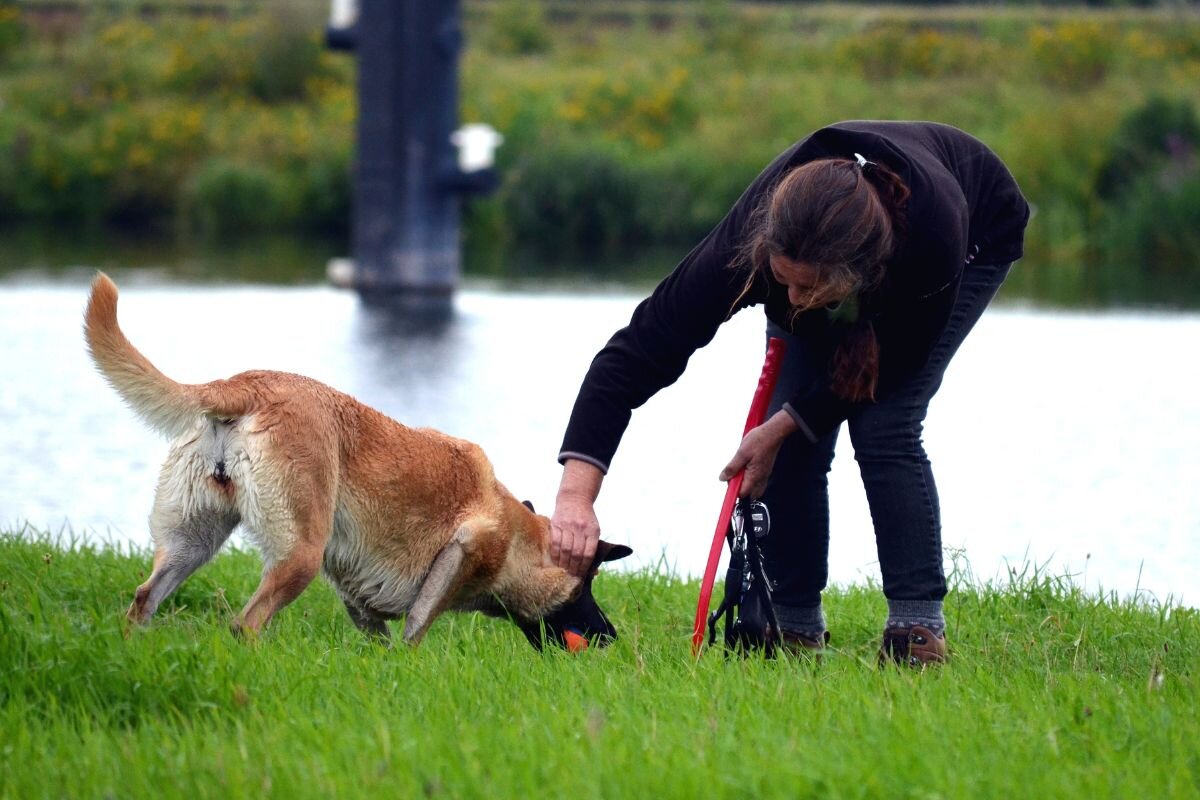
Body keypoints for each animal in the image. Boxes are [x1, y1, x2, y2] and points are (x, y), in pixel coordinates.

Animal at [83, 275, 628, 652]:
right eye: (587, 588)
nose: (611, 635)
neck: (516, 532)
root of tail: (246, 384)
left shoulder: (355, 591)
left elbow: (378, 636)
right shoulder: (461, 552)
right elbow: (417, 627)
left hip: (192, 542)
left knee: (144, 598)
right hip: (299, 554)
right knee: (246, 623)